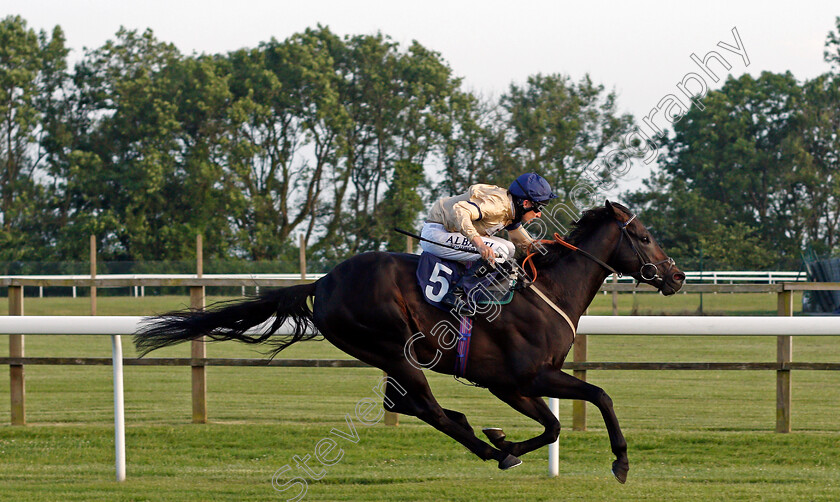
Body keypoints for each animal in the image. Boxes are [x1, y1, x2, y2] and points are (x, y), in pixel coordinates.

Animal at [131, 200, 684, 482]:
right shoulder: (528, 375)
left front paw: (503, 437)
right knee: (423, 405)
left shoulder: (511, 384)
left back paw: (481, 438)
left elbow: (551, 426)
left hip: (387, 355)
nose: (677, 276)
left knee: (408, 404)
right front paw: (620, 461)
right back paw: (483, 445)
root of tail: (322, 282)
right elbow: (598, 396)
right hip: (392, 346)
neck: (546, 289)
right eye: (644, 235)